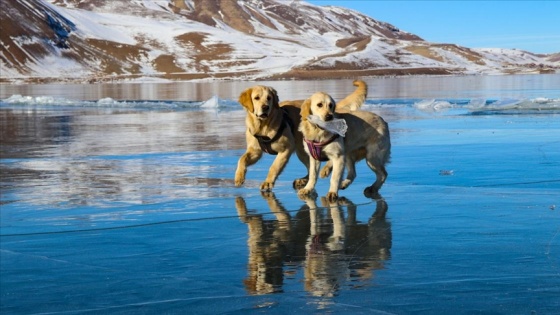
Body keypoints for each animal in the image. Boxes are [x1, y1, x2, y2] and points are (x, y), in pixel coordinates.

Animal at [233, 80, 368, 191]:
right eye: (256, 98)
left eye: (269, 98)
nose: (265, 107)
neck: (263, 126)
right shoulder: (255, 151)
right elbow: (242, 159)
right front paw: (239, 177)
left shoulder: (286, 149)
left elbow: (274, 167)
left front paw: (268, 182)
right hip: (303, 150)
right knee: (310, 168)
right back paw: (304, 180)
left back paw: (326, 169)